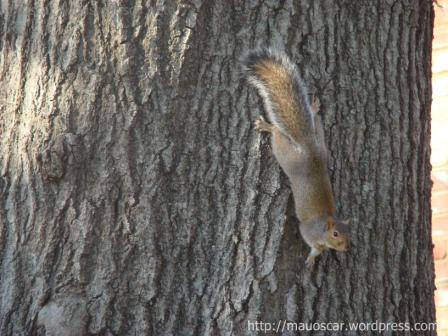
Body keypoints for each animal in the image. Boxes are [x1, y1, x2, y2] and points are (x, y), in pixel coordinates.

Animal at [242, 48, 350, 268]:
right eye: (336, 233)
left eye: (350, 233)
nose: (346, 248)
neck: (324, 224)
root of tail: (308, 147)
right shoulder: (307, 231)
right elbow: (312, 245)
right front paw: (310, 259)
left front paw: (315, 257)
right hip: (286, 154)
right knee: (276, 133)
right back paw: (267, 126)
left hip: (320, 140)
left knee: (315, 121)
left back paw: (314, 108)